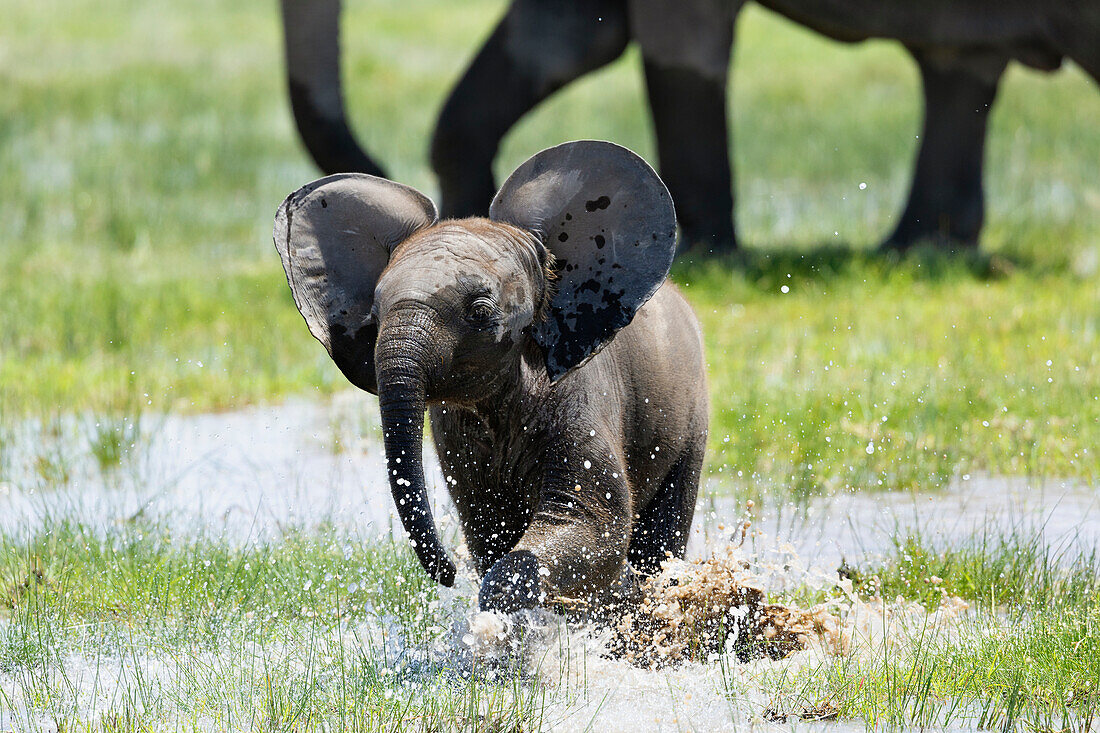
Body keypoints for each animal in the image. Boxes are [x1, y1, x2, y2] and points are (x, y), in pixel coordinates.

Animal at [270, 139, 708, 607]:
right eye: (374, 315)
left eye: (479, 314)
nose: (446, 573)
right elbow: (488, 533)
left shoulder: (582, 395)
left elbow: (594, 522)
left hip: (691, 415)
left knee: (662, 538)